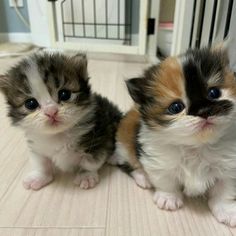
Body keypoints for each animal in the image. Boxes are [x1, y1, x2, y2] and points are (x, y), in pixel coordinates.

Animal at [0, 51, 121, 190]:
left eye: (64, 94)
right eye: (30, 104)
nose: (51, 111)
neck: (58, 135)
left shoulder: (98, 139)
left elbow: (90, 162)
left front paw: (86, 175)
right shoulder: (37, 146)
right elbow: (41, 163)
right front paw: (40, 176)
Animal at [114, 46, 236, 227]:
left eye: (214, 93)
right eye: (176, 107)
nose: (204, 112)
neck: (196, 146)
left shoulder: (229, 169)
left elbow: (224, 192)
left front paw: (227, 211)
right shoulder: (160, 163)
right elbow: (166, 182)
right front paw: (168, 199)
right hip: (124, 145)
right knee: (128, 164)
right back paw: (143, 178)